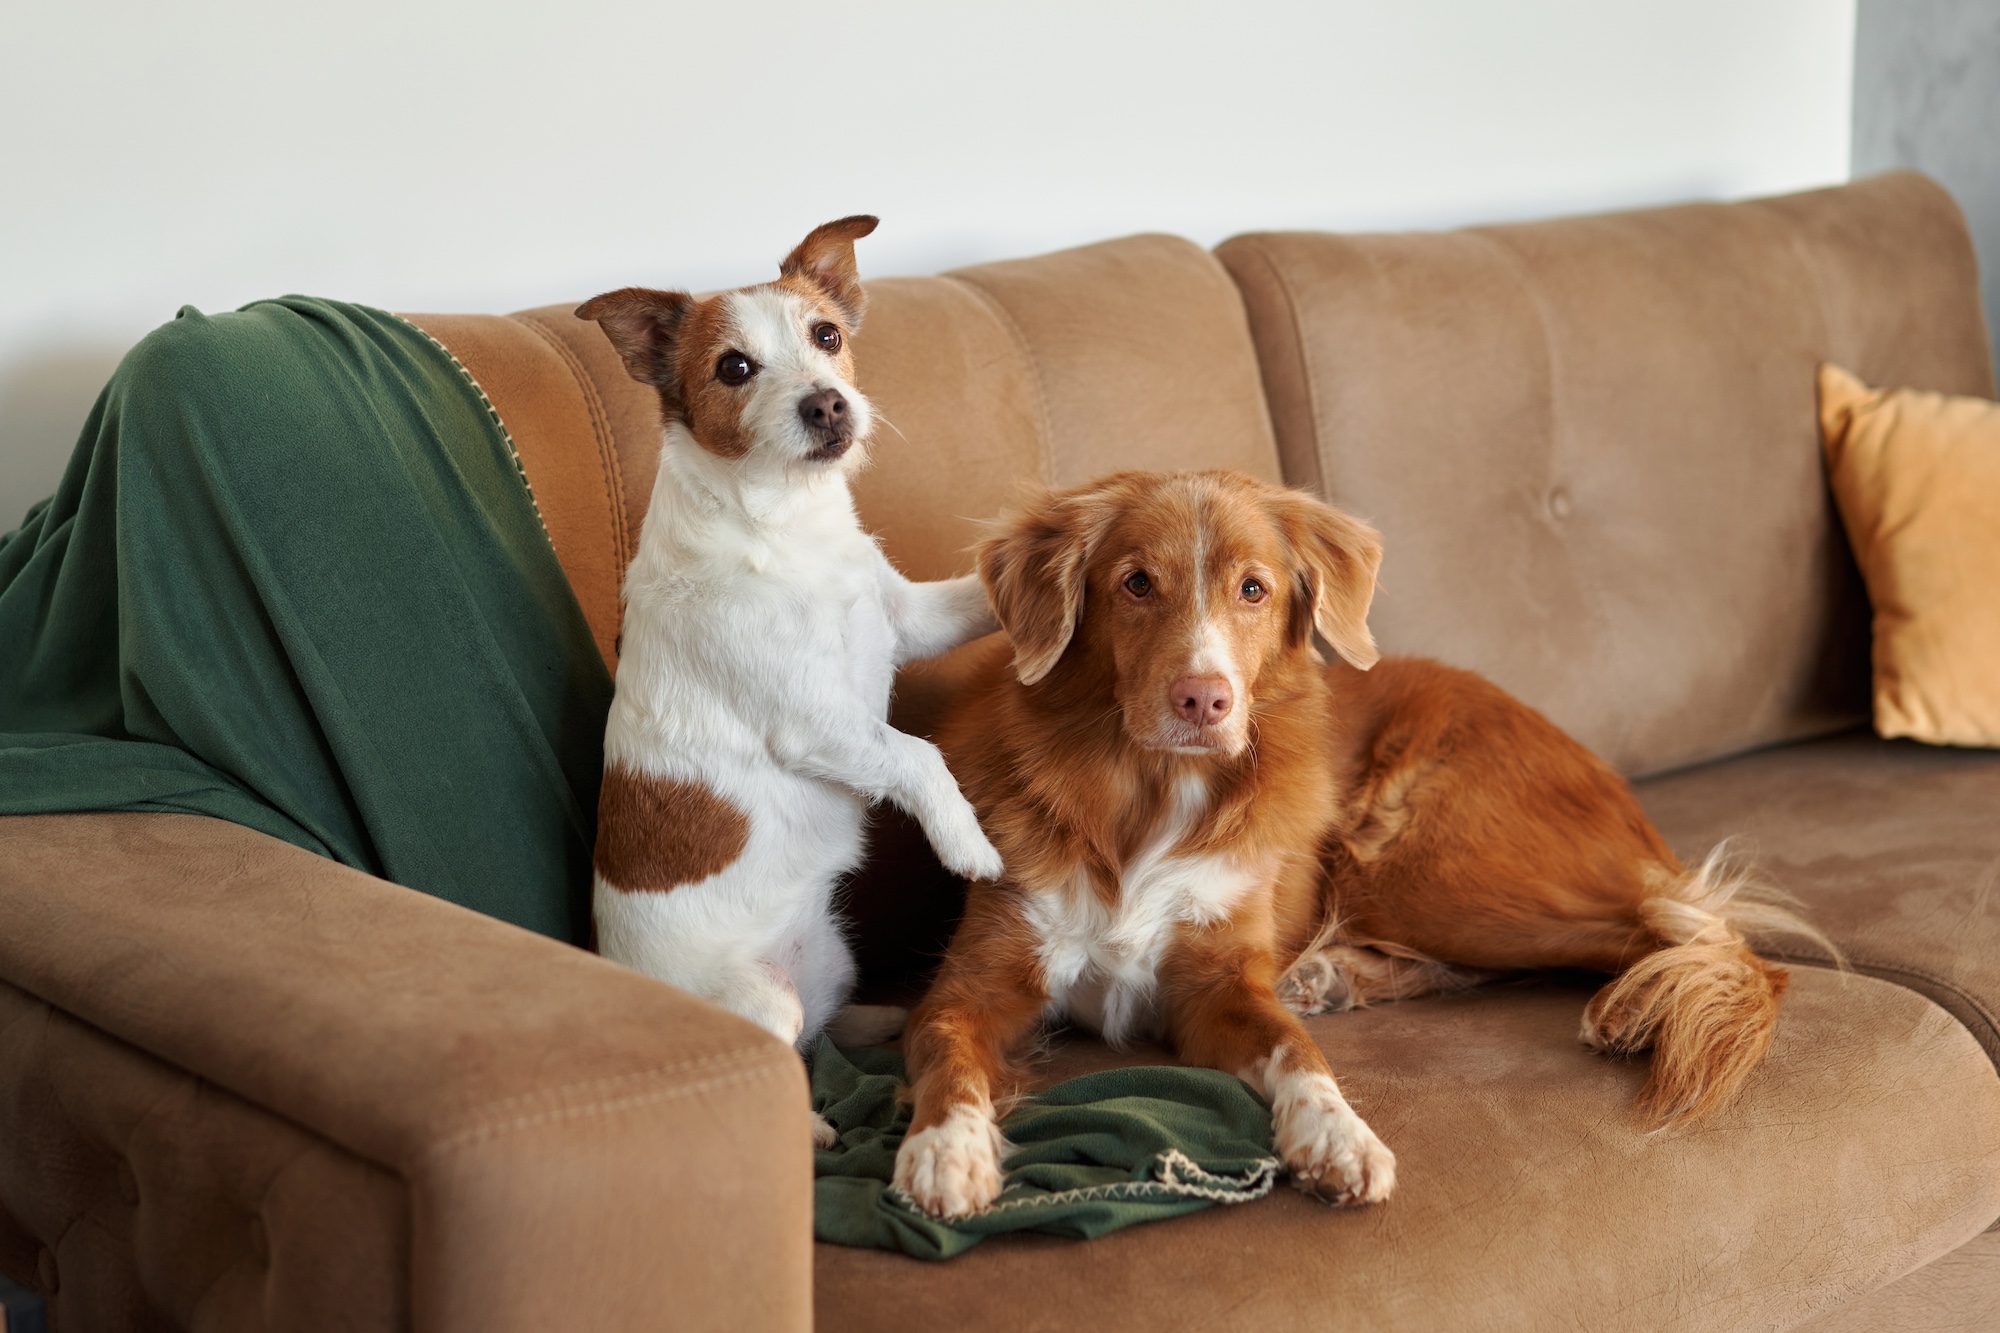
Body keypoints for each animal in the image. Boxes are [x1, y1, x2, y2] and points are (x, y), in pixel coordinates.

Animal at [584, 220, 1000, 1112]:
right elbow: (918, 753)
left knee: (824, 1027)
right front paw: (968, 843)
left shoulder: (907, 620)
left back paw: (884, 1018)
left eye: (828, 336)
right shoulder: (814, 723)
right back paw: (818, 1126)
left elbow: (977, 595)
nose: (827, 402)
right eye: (734, 368)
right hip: (760, 998)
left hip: (835, 956)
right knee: (786, 1061)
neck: (787, 525)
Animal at [892, 466, 1816, 1216]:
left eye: (1253, 589)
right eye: (1137, 583)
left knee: (1697, 930)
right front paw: (945, 1149)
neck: (1148, 793)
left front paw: (1341, 1135)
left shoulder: (1218, 985)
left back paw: (1627, 1004)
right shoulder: (974, 982)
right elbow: (947, 1053)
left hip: (1421, 865)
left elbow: (1300, 1057)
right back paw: (1335, 975)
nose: (1204, 700)